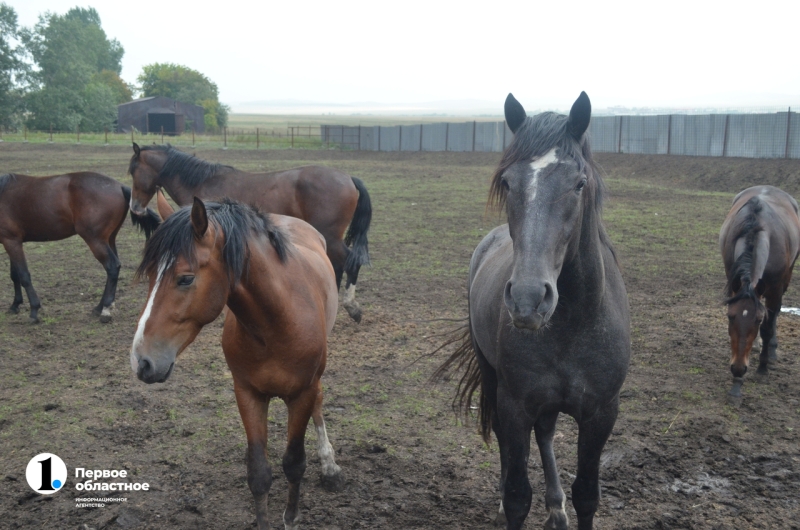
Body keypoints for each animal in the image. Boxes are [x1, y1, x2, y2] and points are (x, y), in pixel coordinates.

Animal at [0, 172, 161, 322]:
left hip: (95, 240)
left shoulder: (11, 241)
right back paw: (100, 307)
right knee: (114, 268)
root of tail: (120, 186)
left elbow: (23, 275)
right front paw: (15, 305)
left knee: (112, 266)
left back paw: (105, 309)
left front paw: (34, 310)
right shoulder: (12, 241)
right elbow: (15, 275)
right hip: (109, 239)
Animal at [127, 142, 372, 320]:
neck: (203, 184)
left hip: (331, 236)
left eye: (133, 171)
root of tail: (348, 178)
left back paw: (352, 307)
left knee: (350, 262)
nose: (135, 207)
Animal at [130, 196, 340, 524]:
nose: (142, 361)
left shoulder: (301, 393)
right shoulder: (247, 393)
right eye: (151, 276)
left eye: (185, 278)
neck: (276, 323)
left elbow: (294, 464)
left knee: (319, 401)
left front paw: (290, 517)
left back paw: (330, 466)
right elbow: (259, 474)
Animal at [438, 92, 632, 528]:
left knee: (545, 434)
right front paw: (509, 501)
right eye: (508, 182)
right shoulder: (515, 407)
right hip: (494, 379)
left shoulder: (601, 413)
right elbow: (516, 495)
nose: (528, 300)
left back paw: (556, 506)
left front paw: (565, 504)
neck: (573, 326)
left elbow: (587, 495)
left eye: (579, 184)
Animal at [720, 184, 800, 402]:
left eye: (756, 320)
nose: (738, 368)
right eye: (730, 317)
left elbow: (767, 326)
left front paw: (762, 367)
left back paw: (771, 350)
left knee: (774, 317)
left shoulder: (775, 290)